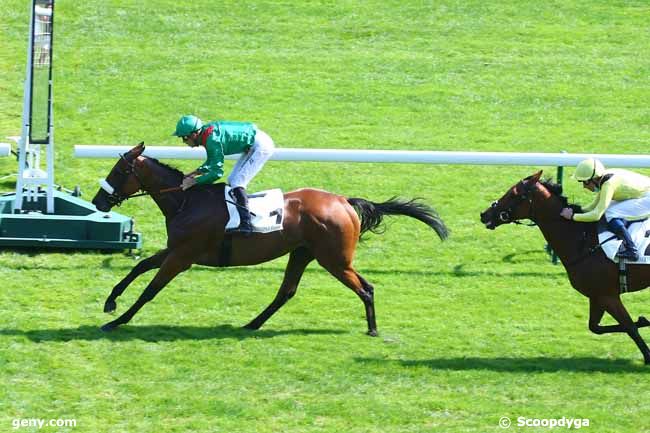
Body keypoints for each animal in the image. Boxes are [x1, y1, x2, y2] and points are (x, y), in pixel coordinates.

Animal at [91, 143, 448, 336]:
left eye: (118, 172)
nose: (99, 202)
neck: (186, 201)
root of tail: (344, 201)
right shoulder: (175, 249)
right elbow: (138, 270)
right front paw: (110, 302)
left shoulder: (182, 257)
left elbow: (150, 289)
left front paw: (118, 321)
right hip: (304, 253)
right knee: (287, 291)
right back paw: (252, 324)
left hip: (333, 259)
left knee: (365, 288)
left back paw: (372, 328)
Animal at [476, 170, 648, 362]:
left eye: (513, 194)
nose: (485, 214)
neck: (583, 240)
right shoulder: (597, 295)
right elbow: (595, 327)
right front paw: (644, 321)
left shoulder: (607, 295)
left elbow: (629, 327)